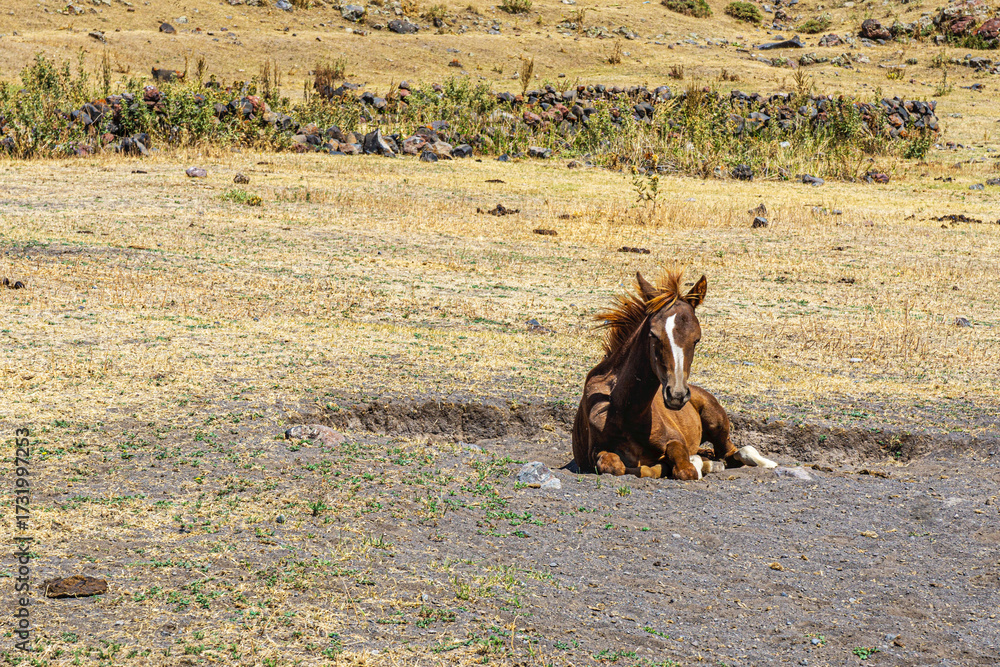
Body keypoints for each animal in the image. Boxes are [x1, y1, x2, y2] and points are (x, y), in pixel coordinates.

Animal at [572, 268, 776, 480]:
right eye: (653, 334)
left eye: (697, 339)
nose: (677, 395)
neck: (627, 410)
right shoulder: (596, 451)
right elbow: (615, 466)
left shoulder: (675, 440)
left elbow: (684, 467)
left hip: (717, 421)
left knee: (733, 453)